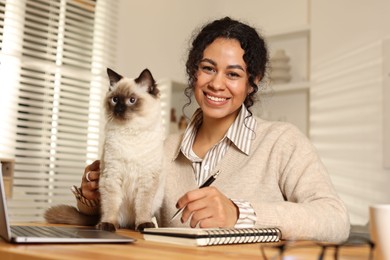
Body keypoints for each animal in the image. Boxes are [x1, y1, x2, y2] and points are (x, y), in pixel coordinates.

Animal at [44, 67, 166, 232]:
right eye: (115, 100)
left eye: (132, 100)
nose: (119, 109)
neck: (130, 132)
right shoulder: (112, 176)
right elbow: (111, 206)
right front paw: (108, 225)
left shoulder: (146, 181)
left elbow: (142, 207)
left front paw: (144, 225)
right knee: (108, 215)